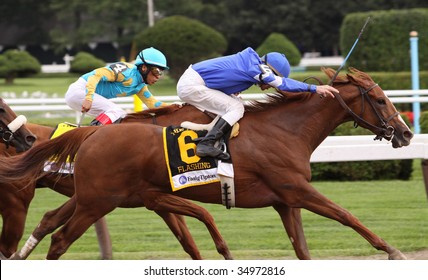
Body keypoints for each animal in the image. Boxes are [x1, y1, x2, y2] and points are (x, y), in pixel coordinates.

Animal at [0, 67, 414, 258]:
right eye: (379, 99)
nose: (406, 133)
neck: (284, 130)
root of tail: (91, 135)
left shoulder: (286, 201)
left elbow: (302, 248)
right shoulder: (297, 189)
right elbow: (346, 215)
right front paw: (392, 250)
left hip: (93, 196)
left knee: (50, 224)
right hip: (89, 200)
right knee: (56, 239)